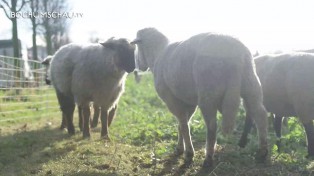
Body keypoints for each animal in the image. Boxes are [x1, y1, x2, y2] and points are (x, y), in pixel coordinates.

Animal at [132, 27, 268, 168]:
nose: (137, 67)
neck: (157, 55)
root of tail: (235, 55)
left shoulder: (171, 99)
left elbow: (183, 125)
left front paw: (188, 154)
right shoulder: (188, 101)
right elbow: (182, 124)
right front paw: (180, 148)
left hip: (208, 93)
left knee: (212, 126)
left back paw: (208, 158)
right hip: (251, 84)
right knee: (260, 115)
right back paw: (262, 152)